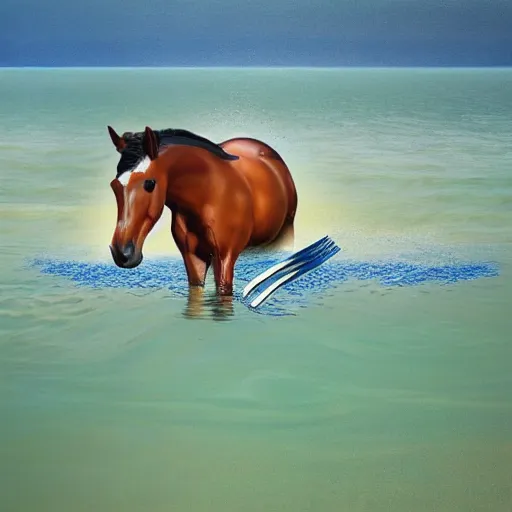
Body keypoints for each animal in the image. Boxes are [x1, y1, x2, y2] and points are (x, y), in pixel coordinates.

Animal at [106, 124, 298, 296]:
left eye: (150, 183)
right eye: (114, 185)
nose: (122, 254)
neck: (207, 194)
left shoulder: (225, 257)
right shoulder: (193, 258)